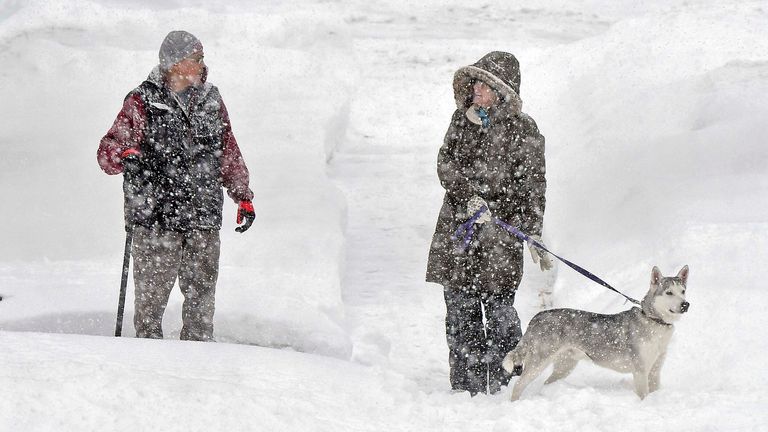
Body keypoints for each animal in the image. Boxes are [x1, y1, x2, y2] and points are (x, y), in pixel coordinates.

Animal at [504, 264, 688, 400]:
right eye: (669, 293)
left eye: (683, 291)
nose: (686, 304)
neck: (654, 322)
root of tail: (537, 316)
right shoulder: (640, 371)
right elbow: (643, 395)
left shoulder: (655, 370)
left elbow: (654, 390)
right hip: (539, 362)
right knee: (518, 385)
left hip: (565, 365)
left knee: (547, 384)